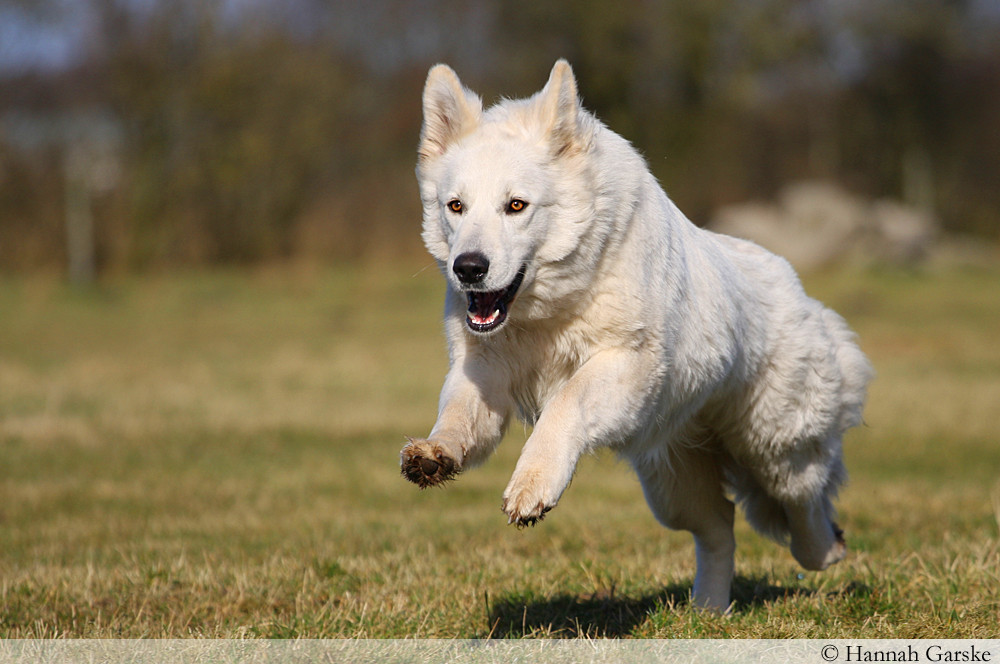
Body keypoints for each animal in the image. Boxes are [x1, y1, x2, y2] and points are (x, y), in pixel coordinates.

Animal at [398, 59, 868, 608]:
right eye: (455, 206)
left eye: (516, 206)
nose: (468, 268)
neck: (548, 312)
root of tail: (798, 288)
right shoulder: (483, 371)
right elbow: (457, 416)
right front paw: (436, 453)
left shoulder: (625, 363)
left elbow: (564, 404)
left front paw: (533, 484)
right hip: (674, 484)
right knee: (719, 527)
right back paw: (708, 609)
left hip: (778, 448)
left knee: (805, 509)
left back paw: (828, 549)